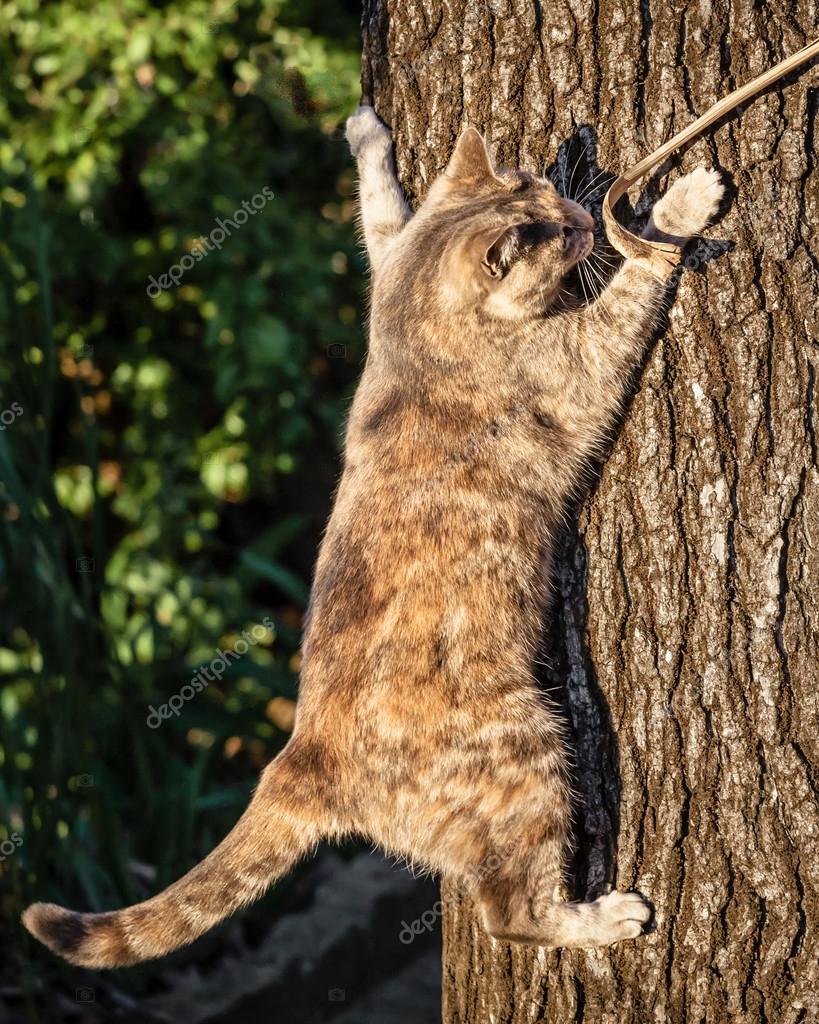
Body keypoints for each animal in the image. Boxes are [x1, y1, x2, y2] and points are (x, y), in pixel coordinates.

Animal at [20, 108, 724, 962]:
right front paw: (679, 206)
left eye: (554, 196)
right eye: (553, 234)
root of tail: (297, 757)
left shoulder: (387, 259)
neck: (413, 325)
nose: (586, 218)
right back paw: (600, 919)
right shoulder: (579, 364)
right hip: (528, 747)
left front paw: (367, 139)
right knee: (508, 911)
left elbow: (382, 213)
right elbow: (631, 286)